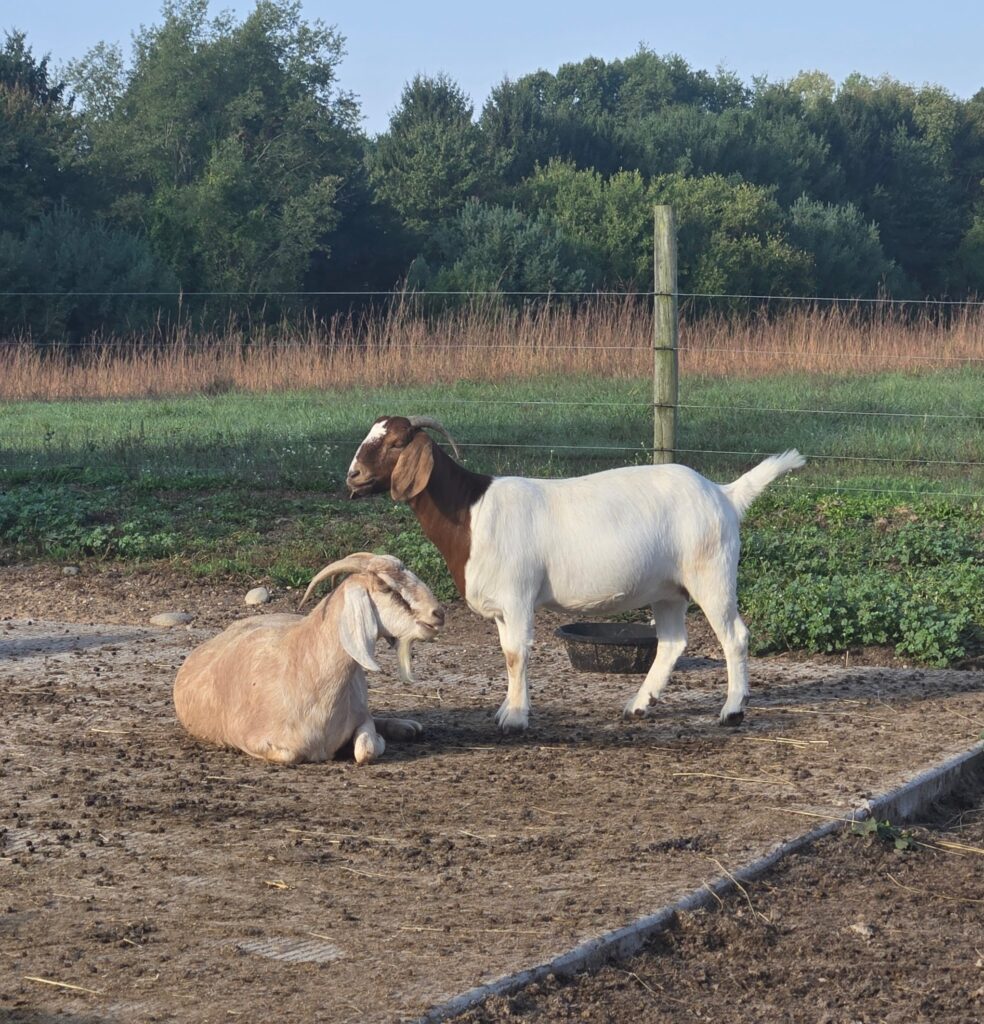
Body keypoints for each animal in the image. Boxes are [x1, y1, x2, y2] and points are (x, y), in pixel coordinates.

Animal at [173, 553, 445, 764]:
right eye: (386, 587)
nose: (438, 614)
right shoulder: (254, 741)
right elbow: (290, 755)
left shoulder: (359, 716)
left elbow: (364, 750)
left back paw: (408, 727)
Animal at [346, 416, 805, 732]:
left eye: (394, 442)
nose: (353, 475)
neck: (471, 512)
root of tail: (725, 495)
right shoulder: (502, 608)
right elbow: (506, 654)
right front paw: (506, 708)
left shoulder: (517, 596)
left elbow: (517, 654)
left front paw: (515, 718)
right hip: (668, 589)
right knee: (673, 642)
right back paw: (639, 704)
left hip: (711, 573)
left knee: (734, 636)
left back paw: (732, 710)